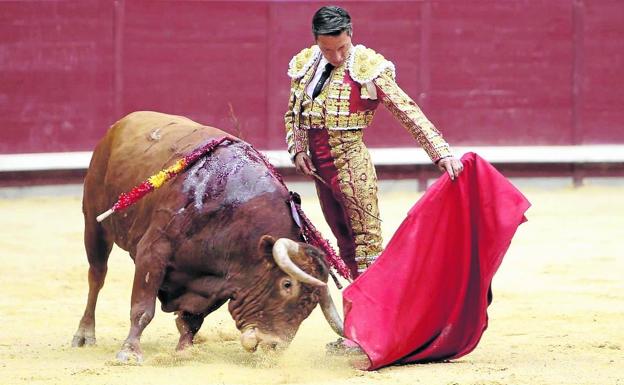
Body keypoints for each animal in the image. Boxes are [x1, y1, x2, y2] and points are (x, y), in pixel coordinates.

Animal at [73, 110, 346, 360]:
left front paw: (185, 351)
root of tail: (121, 123)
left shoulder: (223, 282)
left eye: (311, 305)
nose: (273, 346)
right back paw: (84, 335)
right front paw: (129, 352)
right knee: (96, 276)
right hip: (94, 223)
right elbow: (143, 309)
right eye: (287, 284)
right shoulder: (153, 253)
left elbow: (193, 319)